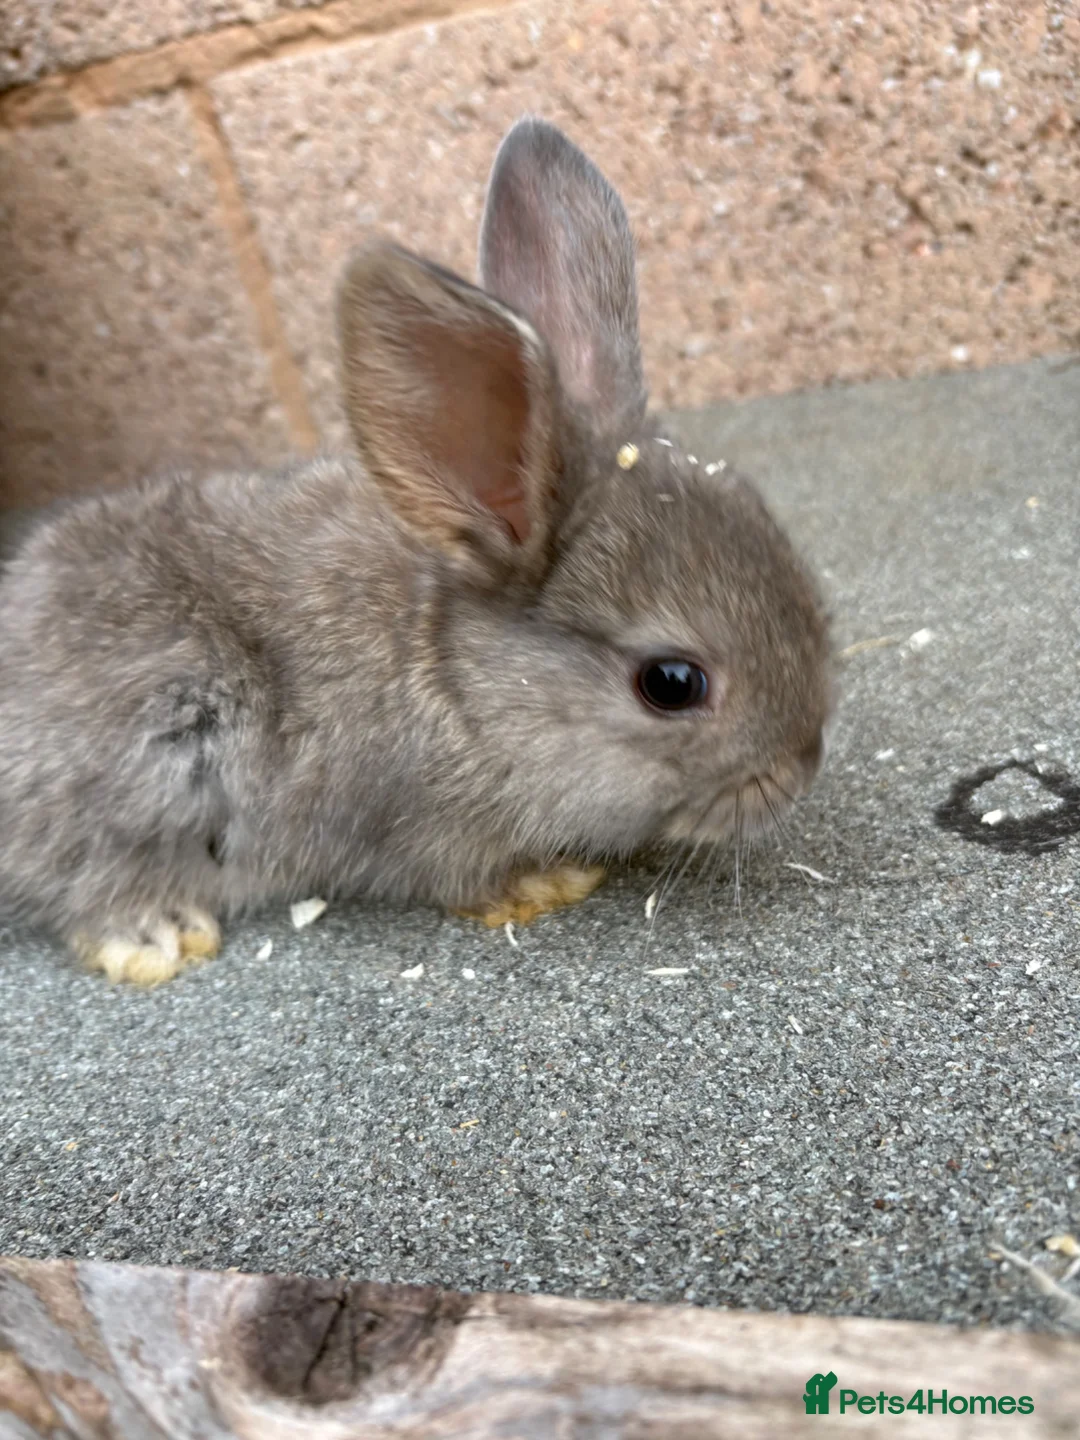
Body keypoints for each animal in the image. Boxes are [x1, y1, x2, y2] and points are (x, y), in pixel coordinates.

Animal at [0, 117, 832, 986]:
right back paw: (156, 936)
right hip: (152, 769)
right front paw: (543, 883)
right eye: (672, 683)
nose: (801, 767)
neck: (465, 689)